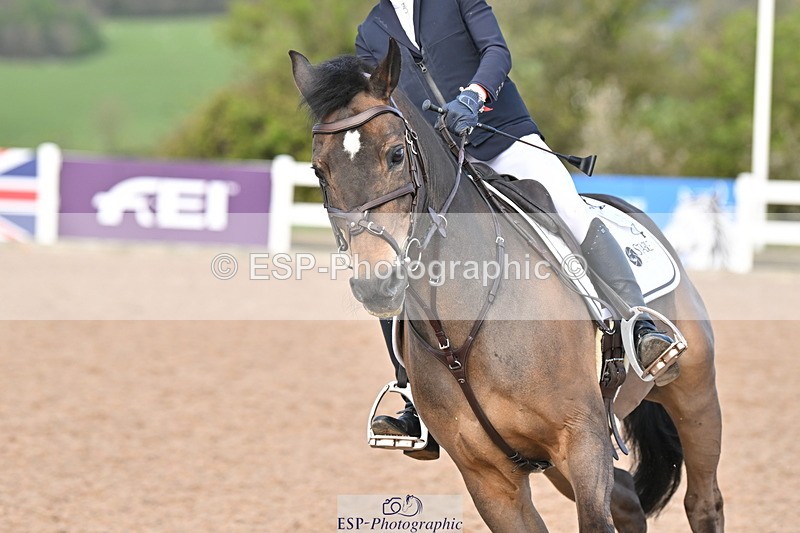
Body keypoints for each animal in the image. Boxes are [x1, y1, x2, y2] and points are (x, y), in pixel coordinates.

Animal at [289, 41, 724, 532]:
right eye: (319, 171)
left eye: (396, 154)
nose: (377, 283)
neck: (462, 327)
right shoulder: (489, 479)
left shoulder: (583, 439)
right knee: (629, 500)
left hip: (695, 394)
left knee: (703, 501)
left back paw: (650, 341)